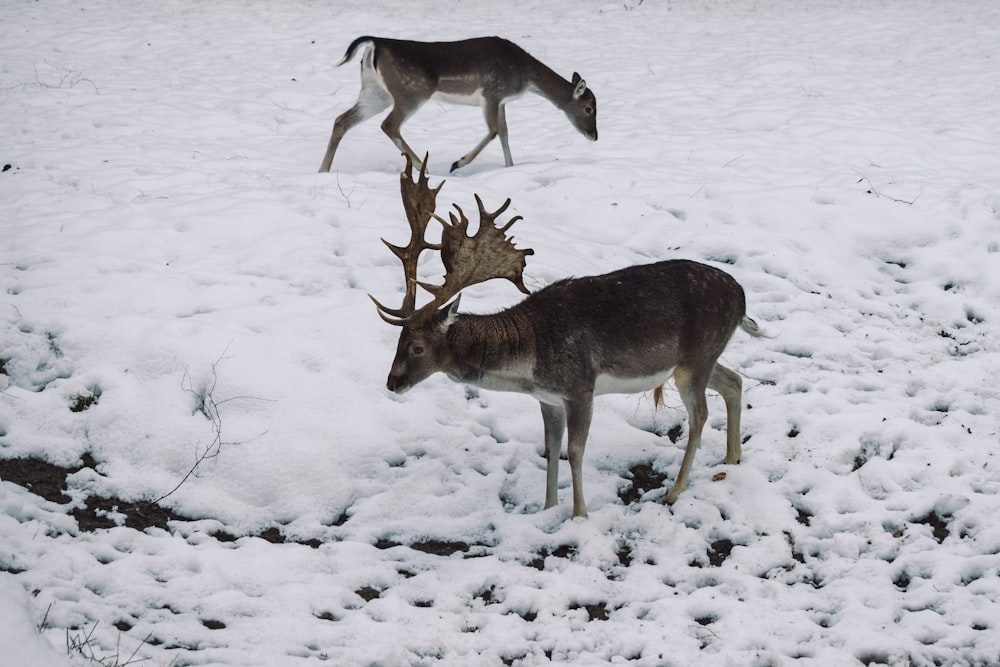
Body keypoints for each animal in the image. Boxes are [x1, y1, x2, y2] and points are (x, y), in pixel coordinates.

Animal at [318, 35, 592, 174]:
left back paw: (323, 170)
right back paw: (424, 169)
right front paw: (457, 163)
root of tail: (375, 44)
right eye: (589, 108)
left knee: (341, 120)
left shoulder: (501, 101)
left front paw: (510, 167)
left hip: (375, 92)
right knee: (389, 125)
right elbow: (494, 131)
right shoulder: (491, 93)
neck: (525, 77)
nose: (595, 135)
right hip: (412, 92)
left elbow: (504, 132)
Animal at [376, 158, 764, 520]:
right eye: (396, 339)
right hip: (697, 357)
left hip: (696, 358)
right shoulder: (548, 398)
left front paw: (579, 515)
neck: (529, 359)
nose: (392, 383)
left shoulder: (580, 387)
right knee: (733, 380)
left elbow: (575, 451)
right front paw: (547, 508)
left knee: (699, 415)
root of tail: (742, 296)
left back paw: (675, 491)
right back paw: (732, 458)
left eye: (417, 347)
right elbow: (551, 449)